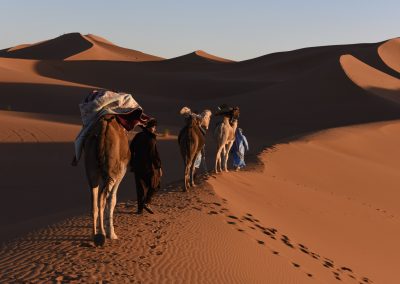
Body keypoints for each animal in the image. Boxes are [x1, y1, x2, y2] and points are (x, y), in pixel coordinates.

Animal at [83, 114, 130, 245]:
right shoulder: (120, 172)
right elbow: (112, 199)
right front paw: (112, 233)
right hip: (110, 171)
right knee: (102, 199)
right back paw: (102, 235)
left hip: (91, 169)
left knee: (94, 201)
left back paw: (94, 235)